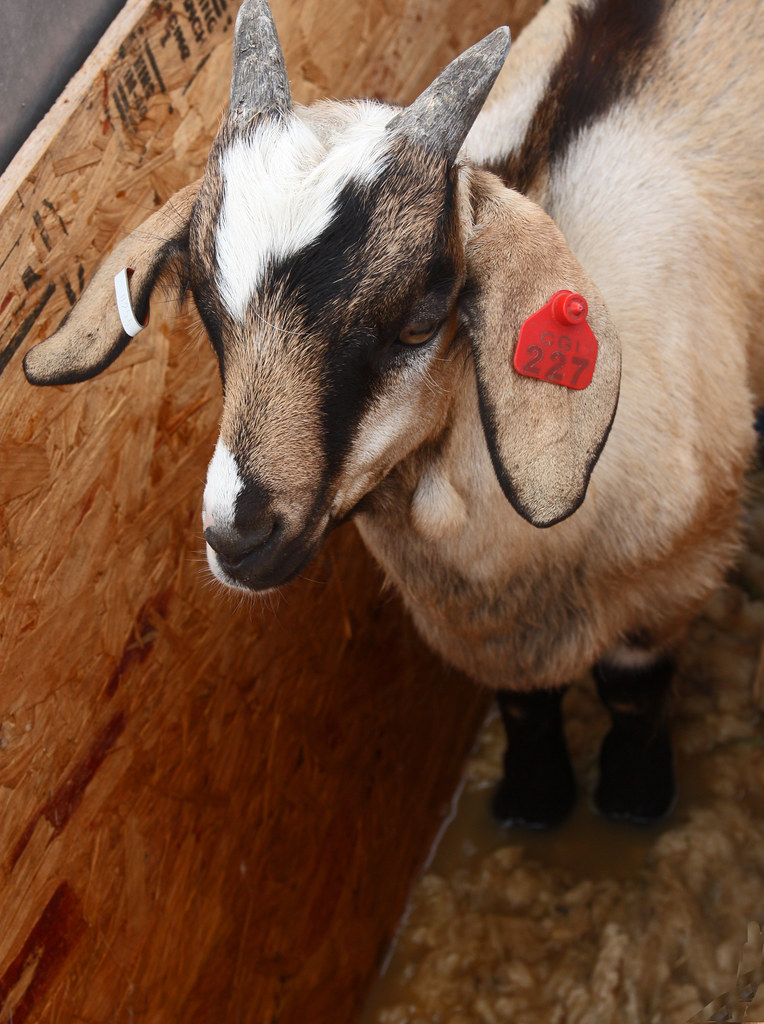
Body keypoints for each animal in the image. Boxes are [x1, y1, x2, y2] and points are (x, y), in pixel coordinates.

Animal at [24, 0, 764, 828]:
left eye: (420, 322)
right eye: (210, 315)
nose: (238, 537)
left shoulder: (677, 581)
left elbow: (634, 697)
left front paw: (637, 802)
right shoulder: (486, 641)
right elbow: (525, 706)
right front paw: (531, 799)